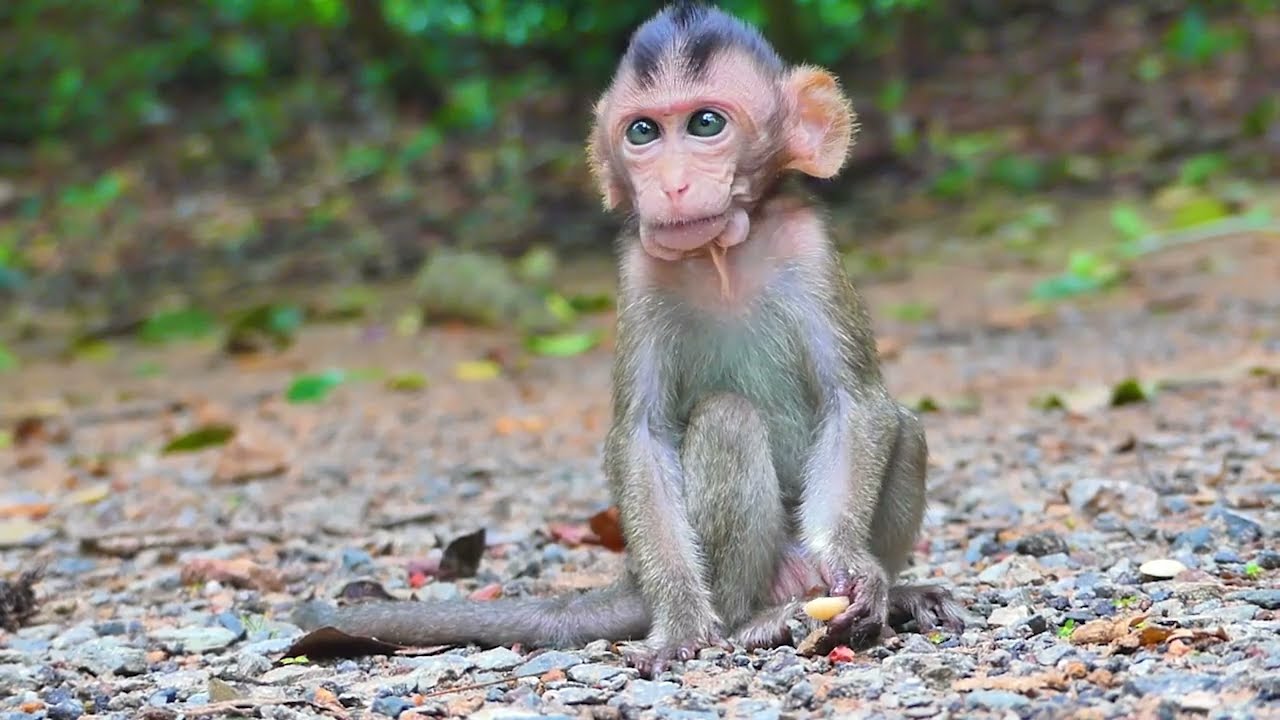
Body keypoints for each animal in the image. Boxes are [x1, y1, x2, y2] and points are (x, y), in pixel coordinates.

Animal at [291, 2, 963, 677]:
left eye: (706, 123)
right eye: (642, 133)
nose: (670, 185)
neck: (721, 255)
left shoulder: (811, 248)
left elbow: (856, 403)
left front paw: (853, 565)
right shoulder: (640, 272)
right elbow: (642, 435)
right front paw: (680, 624)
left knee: (906, 427)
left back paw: (897, 594)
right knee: (727, 420)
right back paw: (752, 621)